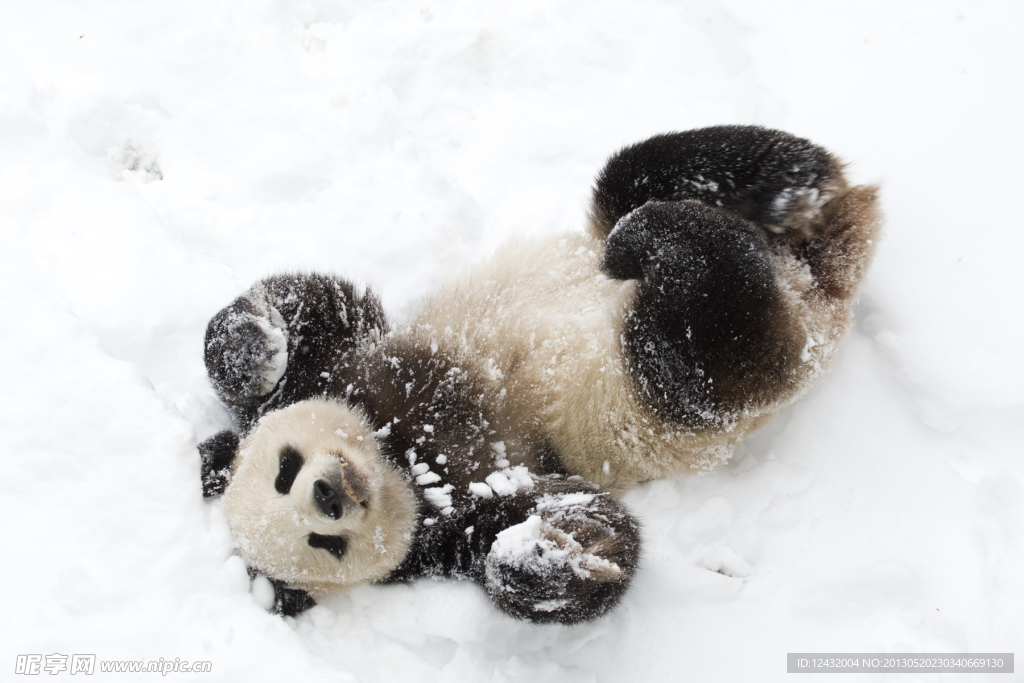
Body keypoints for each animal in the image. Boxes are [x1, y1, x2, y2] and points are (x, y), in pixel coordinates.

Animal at [197, 126, 880, 626]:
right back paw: (687, 240)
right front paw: (542, 557)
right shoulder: (455, 517)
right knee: (705, 339)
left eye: (284, 469)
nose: (329, 495)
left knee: (642, 174)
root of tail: (816, 282)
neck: (400, 453)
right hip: (681, 386)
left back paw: (775, 191)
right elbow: (584, 524)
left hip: (649, 231)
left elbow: (317, 306)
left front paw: (253, 348)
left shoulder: (352, 367)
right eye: (324, 545)